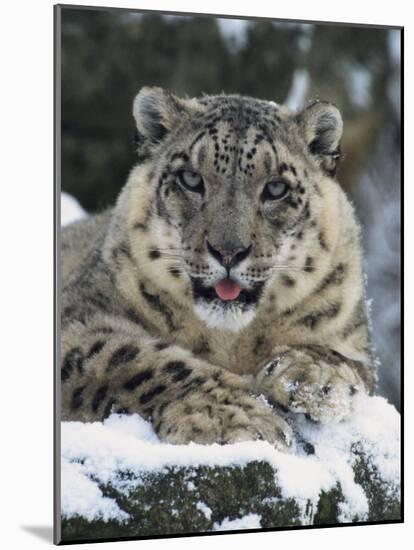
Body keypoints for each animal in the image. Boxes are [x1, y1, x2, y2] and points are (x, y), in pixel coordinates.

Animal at [61, 85, 376, 448]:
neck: (231, 341)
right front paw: (235, 416)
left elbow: (347, 361)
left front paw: (309, 377)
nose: (228, 251)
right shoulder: (79, 318)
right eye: (190, 178)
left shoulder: (351, 336)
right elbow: (134, 358)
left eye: (276, 188)